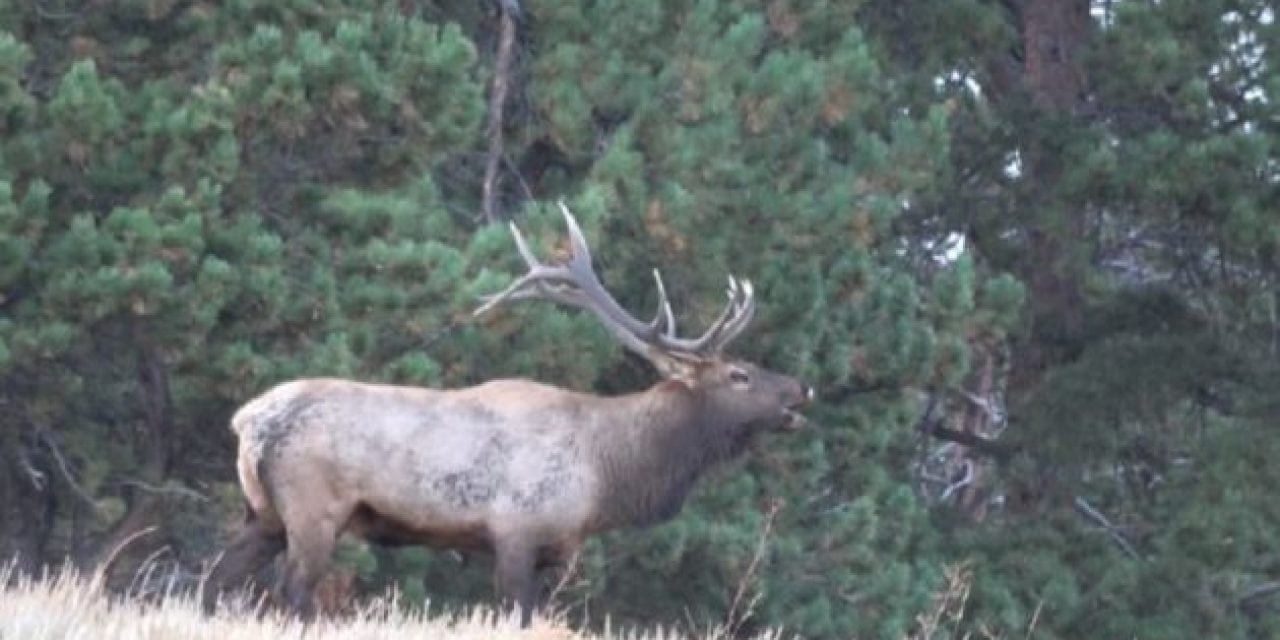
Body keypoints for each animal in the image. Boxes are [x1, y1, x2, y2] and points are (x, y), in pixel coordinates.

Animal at [204, 203, 814, 624]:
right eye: (739, 375)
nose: (801, 390)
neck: (607, 472)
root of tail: (247, 422)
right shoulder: (517, 531)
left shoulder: (554, 551)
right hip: (314, 508)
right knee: (293, 592)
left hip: (263, 513)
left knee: (214, 579)